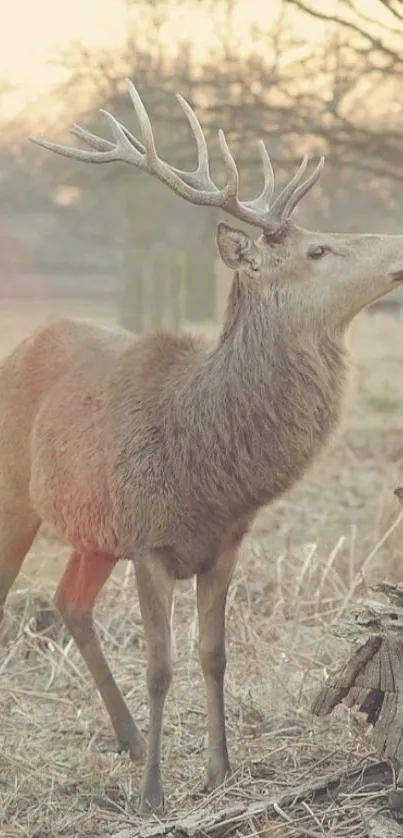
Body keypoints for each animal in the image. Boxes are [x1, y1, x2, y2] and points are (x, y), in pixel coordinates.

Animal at [0, 79, 403, 812]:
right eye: (317, 251)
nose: (399, 252)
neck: (204, 467)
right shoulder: (147, 540)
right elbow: (160, 666)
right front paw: (155, 794)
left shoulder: (223, 542)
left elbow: (214, 654)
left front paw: (219, 771)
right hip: (16, 494)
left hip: (94, 533)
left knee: (70, 600)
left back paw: (130, 739)